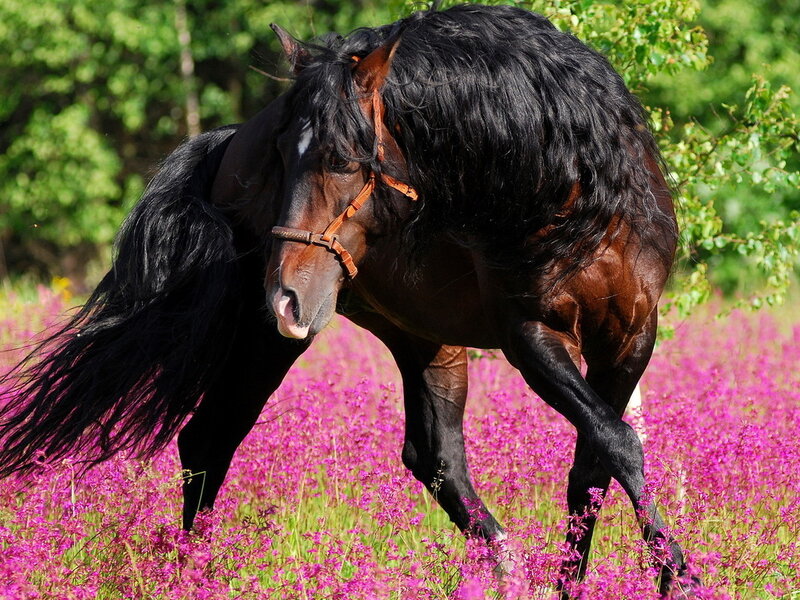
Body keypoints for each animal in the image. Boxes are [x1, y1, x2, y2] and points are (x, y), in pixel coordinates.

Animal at [264, 4, 696, 597]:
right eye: (282, 153)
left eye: (343, 160)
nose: (285, 298)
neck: (570, 195)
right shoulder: (532, 338)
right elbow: (619, 442)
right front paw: (675, 569)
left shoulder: (629, 338)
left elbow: (595, 463)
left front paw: (581, 580)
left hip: (423, 338)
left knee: (436, 456)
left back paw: (508, 569)